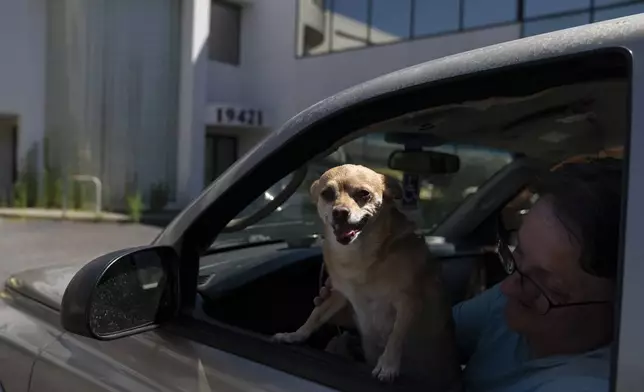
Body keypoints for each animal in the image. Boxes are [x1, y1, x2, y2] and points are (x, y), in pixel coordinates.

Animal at [272, 164, 462, 388]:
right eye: (327, 194)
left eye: (364, 194)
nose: (340, 212)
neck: (360, 255)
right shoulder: (338, 294)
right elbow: (315, 315)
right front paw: (295, 336)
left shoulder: (408, 302)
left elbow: (396, 336)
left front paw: (388, 366)